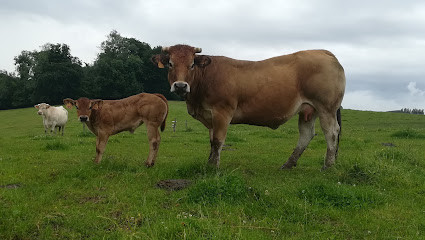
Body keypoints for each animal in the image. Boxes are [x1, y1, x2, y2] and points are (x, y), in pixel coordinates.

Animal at [152, 44, 344, 170]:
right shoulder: (210, 116)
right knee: (306, 134)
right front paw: (209, 163)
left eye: (192, 64)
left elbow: (218, 141)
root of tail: (324, 52)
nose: (180, 86)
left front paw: (214, 167)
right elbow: (212, 142)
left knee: (332, 132)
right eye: (170, 64)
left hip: (326, 108)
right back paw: (289, 164)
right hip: (308, 110)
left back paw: (328, 165)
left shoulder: (222, 112)